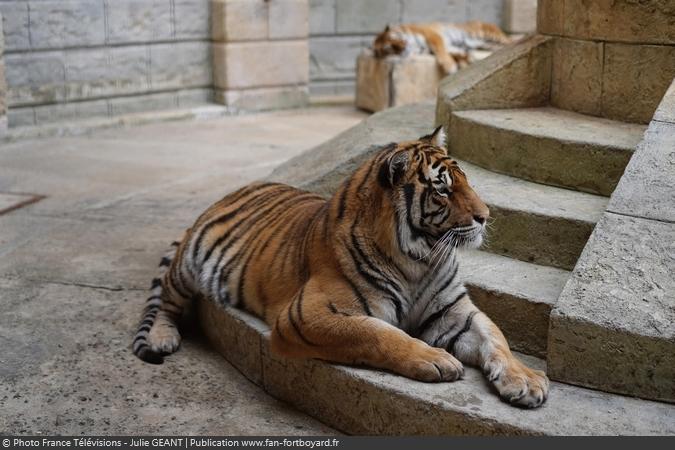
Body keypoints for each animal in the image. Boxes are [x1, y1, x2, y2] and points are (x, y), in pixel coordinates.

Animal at [131, 125, 548, 408]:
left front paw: (526, 380)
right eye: (443, 189)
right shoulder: (306, 314)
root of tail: (239, 188)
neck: (418, 259)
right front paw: (435, 359)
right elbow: (378, 333)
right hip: (187, 266)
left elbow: (495, 336)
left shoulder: (453, 312)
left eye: (466, 181)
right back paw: (162, 337)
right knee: (165, 301)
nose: (485, 216)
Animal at [372, 20, 510, 74]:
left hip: (489, 35)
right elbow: (454, 51)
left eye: (394, 38)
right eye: (388, 49)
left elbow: (441, 49)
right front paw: (464, 58)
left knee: (509, 40)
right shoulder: (447, 45)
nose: (403, 46)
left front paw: (450, 66)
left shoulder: (432, 35)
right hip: (488, 44)